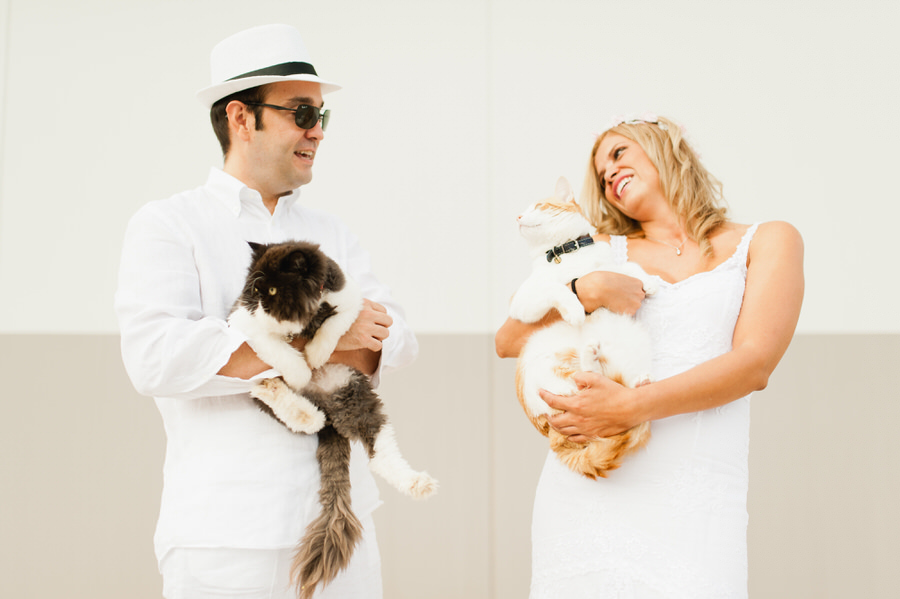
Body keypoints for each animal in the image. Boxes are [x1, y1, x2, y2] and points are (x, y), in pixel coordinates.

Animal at [227, 240, 437, 599]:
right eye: (253, 291)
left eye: (272, 290)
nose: (259, 306)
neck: (305, 317)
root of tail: (329, 414)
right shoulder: (241, 323)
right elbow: (274, 348)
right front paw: (299, 367)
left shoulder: (355, 301)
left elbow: (335, 326)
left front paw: (315, 353)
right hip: (267, 395)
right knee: (294, 411)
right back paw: (288, 398)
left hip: (361, 401)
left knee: (380, 455)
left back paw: (417, 484)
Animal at [510, 177, 658, 479]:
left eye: (538, 206)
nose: (518, 217)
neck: (564, 252)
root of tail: (550, 433)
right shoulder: (523, 301)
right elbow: (557, 288)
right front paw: (575, 309)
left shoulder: (609, 266)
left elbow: (629, 265)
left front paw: (648, 281)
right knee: (590, 380)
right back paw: (591, 355)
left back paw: (638, 382)